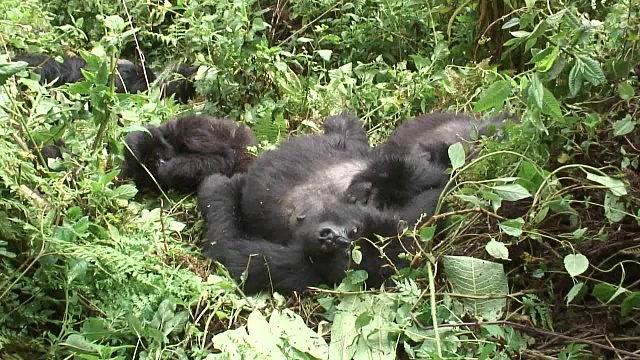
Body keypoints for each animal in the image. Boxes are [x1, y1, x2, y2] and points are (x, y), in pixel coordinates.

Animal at [120, 115, 258, 194]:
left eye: (157, 154)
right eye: (149, 160)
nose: (159, 163)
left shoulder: (192, 131)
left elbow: (224, 159)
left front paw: (167, 169)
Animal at [198, 114, 448, 294]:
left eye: (347, 253)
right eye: (354, 231)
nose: (331, 238)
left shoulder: (296, 267)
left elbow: (229, 251)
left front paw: (218, 187)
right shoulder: (416, 213)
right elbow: (437, 179)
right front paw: (378, 184)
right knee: (346, 130)